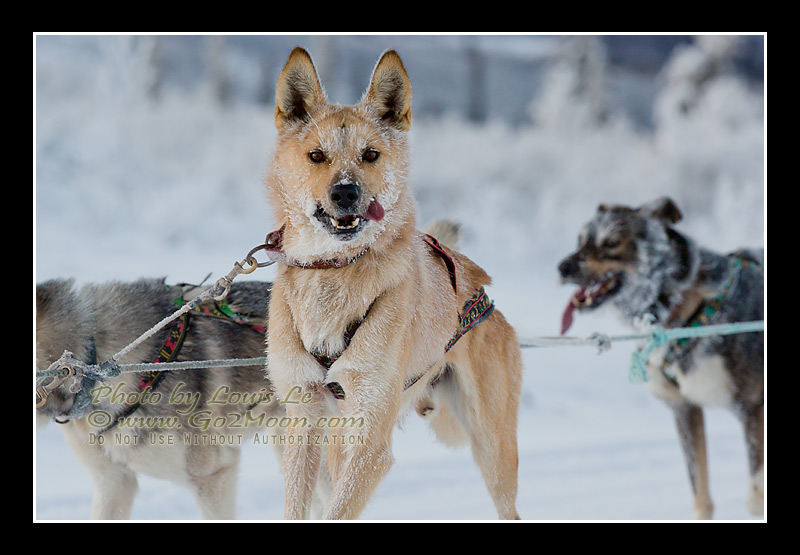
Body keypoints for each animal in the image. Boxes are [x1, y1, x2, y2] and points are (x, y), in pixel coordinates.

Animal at [264, 48, 524, 520]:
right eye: (317, 155)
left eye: (370, 154)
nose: (346, 192)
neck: (335, 269)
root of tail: (480, 288)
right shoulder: (304, 421)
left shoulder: (371, 442)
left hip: (493, 448)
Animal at [556, 200, 764, 520]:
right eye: (580, 241)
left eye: (611, 242)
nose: (563, 267)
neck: (689, 311)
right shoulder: (684, 409)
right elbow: (701, 495)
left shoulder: (754, 407)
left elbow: (755, 498)